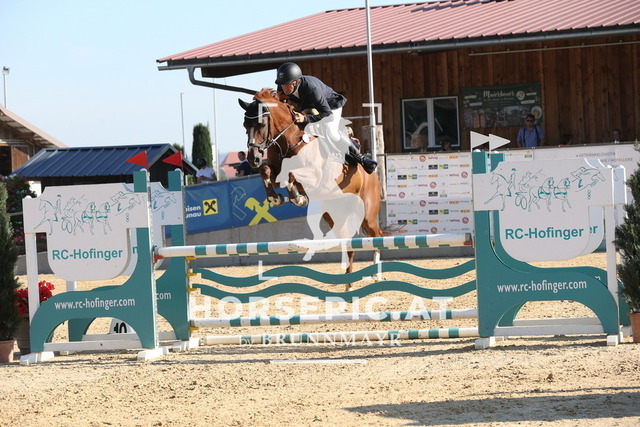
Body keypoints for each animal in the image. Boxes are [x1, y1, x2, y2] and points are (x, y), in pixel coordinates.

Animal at [238, 88, 384, 282]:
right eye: (245, 126)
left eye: (261, 124)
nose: (252, 159)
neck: (289, 140)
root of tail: (374, 176)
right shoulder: (275, 170)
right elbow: (266, 171)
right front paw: (276, 198)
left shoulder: (315, 175)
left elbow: (292, 174)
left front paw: (297, 197)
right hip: (333, 213)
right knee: (347, 242)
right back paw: (348, 277)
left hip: (367, 211)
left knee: (377, 236)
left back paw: (376, 275)